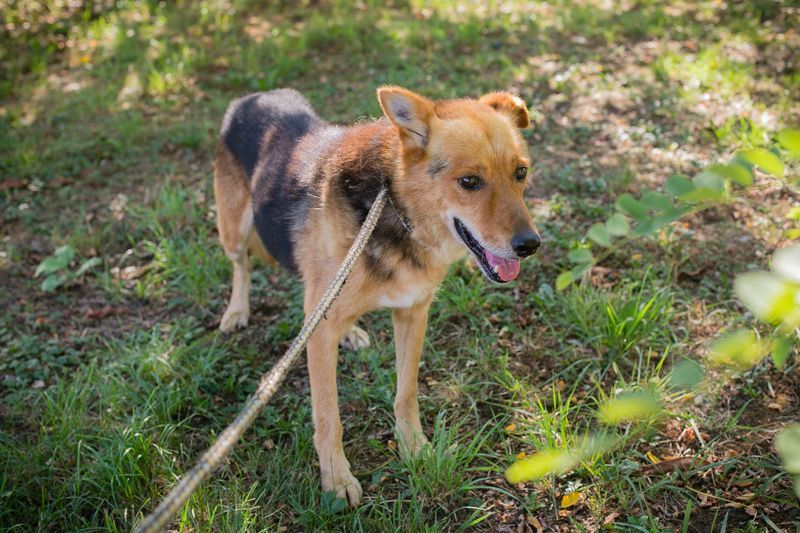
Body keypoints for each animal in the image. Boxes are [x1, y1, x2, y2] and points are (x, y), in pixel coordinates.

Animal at [214, 86, 540, 506]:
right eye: (469, 181)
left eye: (521, 173)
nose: (530, 245)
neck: (393, 209)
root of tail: (254, 96)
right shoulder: (319, 337)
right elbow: (328, 416)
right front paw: (336, 478)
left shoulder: (413, 314)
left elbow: (407, 392)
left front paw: (413, 445)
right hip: (234, 230)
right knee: (242, 268)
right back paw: (237, 311)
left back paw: (351, 331)